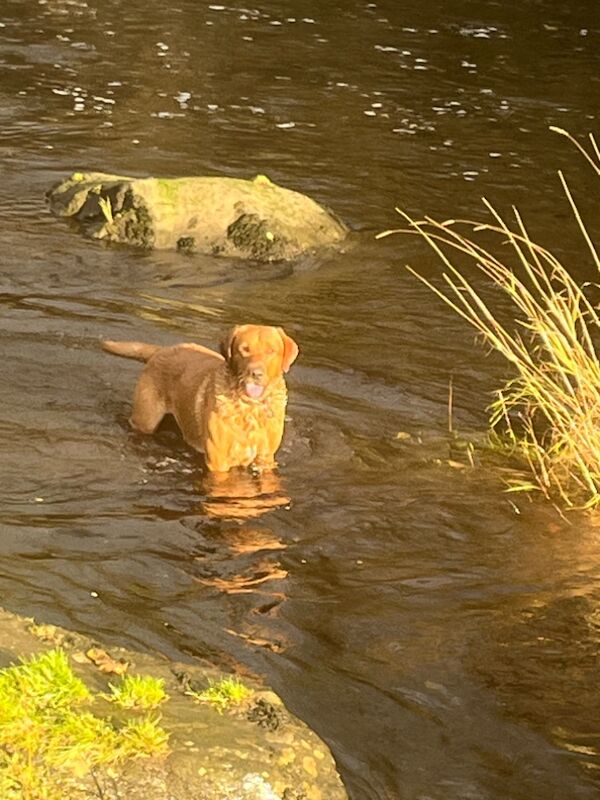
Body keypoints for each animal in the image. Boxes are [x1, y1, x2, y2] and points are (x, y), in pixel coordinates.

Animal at [105, 324, 300, 472]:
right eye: (244, 350)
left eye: (271, 351)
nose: (255, 373)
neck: (250, 408)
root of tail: (161, 350)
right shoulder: (218, 461)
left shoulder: (265, 458)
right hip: (145, 420)